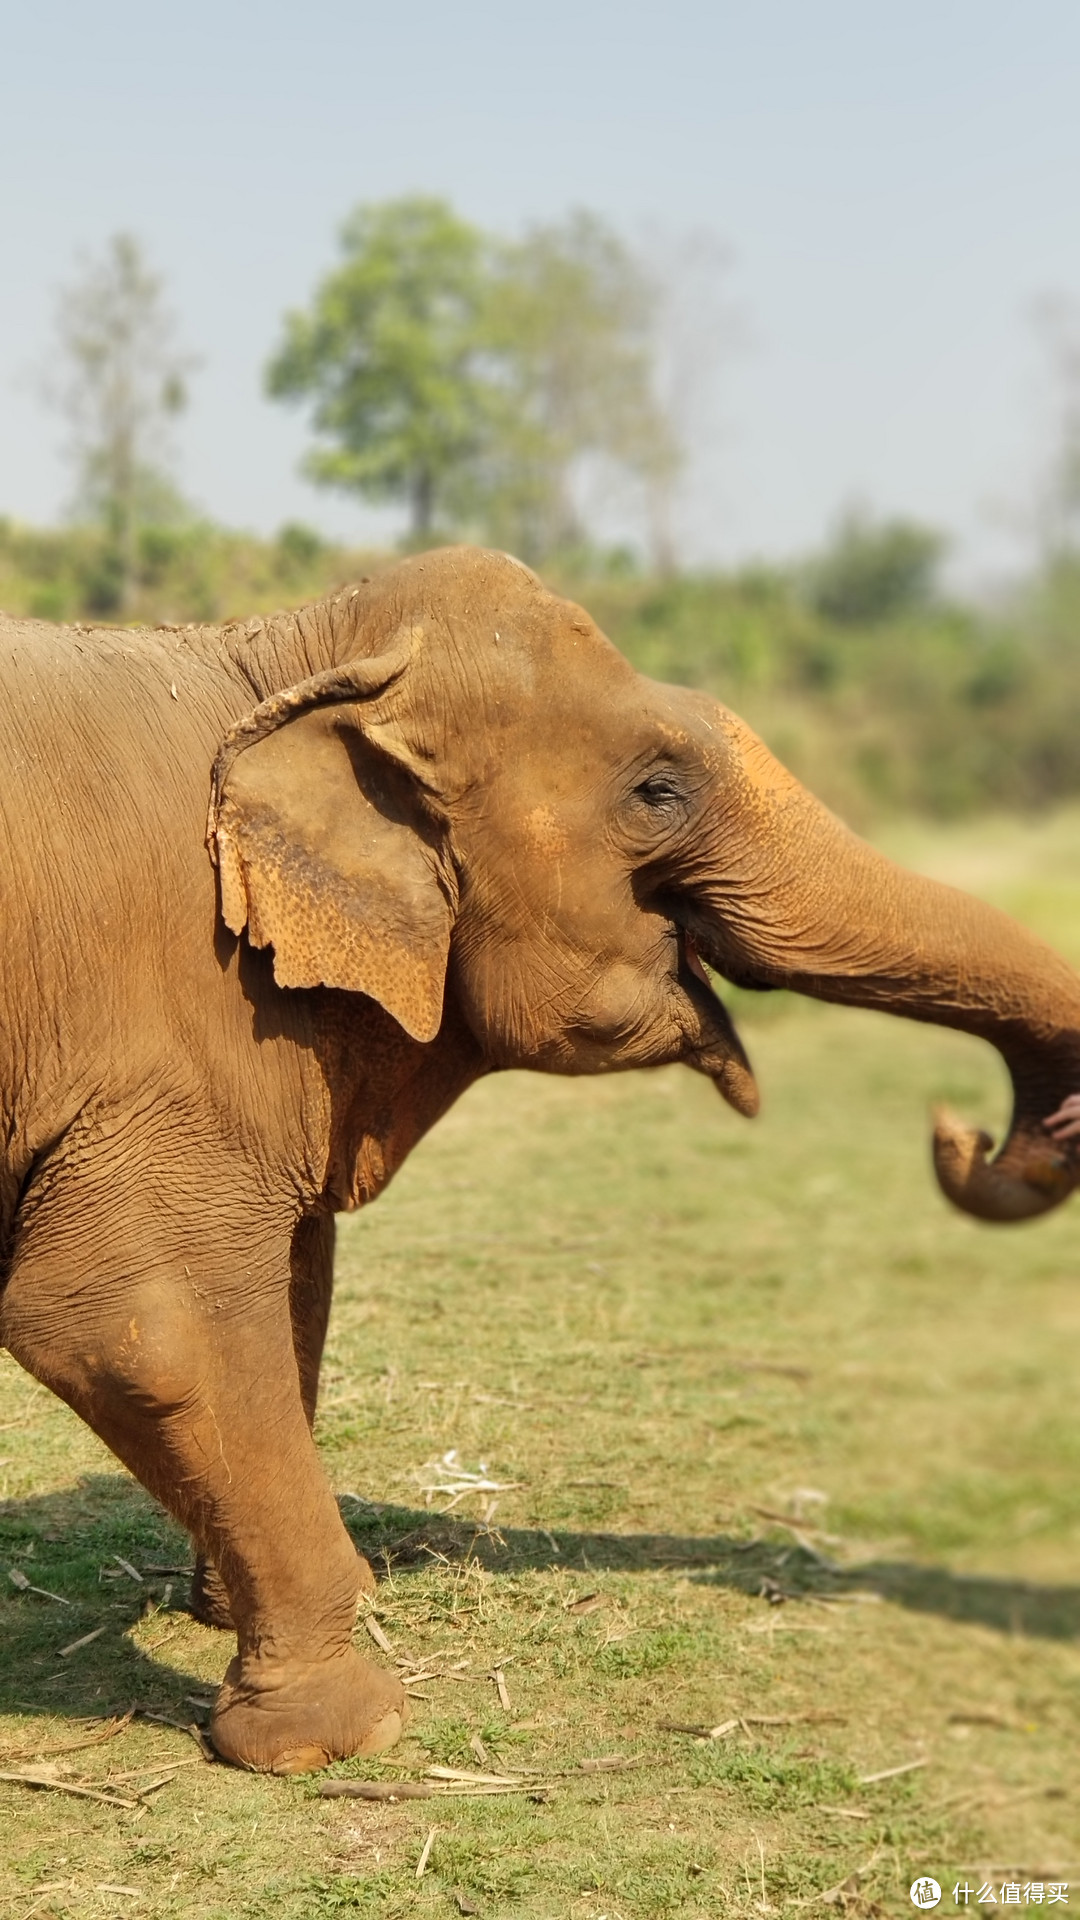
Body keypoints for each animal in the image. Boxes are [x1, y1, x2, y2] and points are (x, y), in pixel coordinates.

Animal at [2, 545, 1076, 1766]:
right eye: (658, 791)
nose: (962, 1129)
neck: (283, 649)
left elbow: (291, 1278)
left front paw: (253, 1610)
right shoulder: (174, 1014)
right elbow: (138, 1315)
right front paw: (343, 1733)